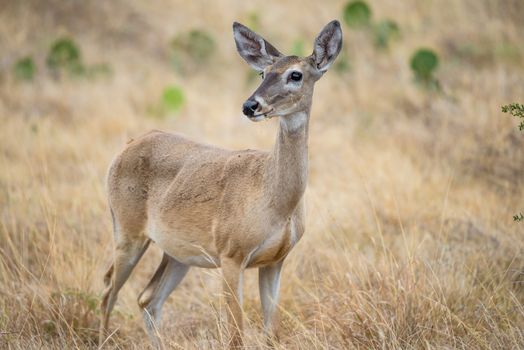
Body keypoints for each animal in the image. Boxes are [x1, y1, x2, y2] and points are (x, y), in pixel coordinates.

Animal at [99, 19, 344, 350]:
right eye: (263, 73)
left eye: (296, 74)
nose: (250, 105)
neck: (274, 200)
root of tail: (124, 148)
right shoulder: (231, 253)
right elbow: (235, 336)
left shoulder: (276, 260)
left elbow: (271, 332)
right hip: (127, 230)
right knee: (108, 292)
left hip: (177, 253)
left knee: (147, 298)